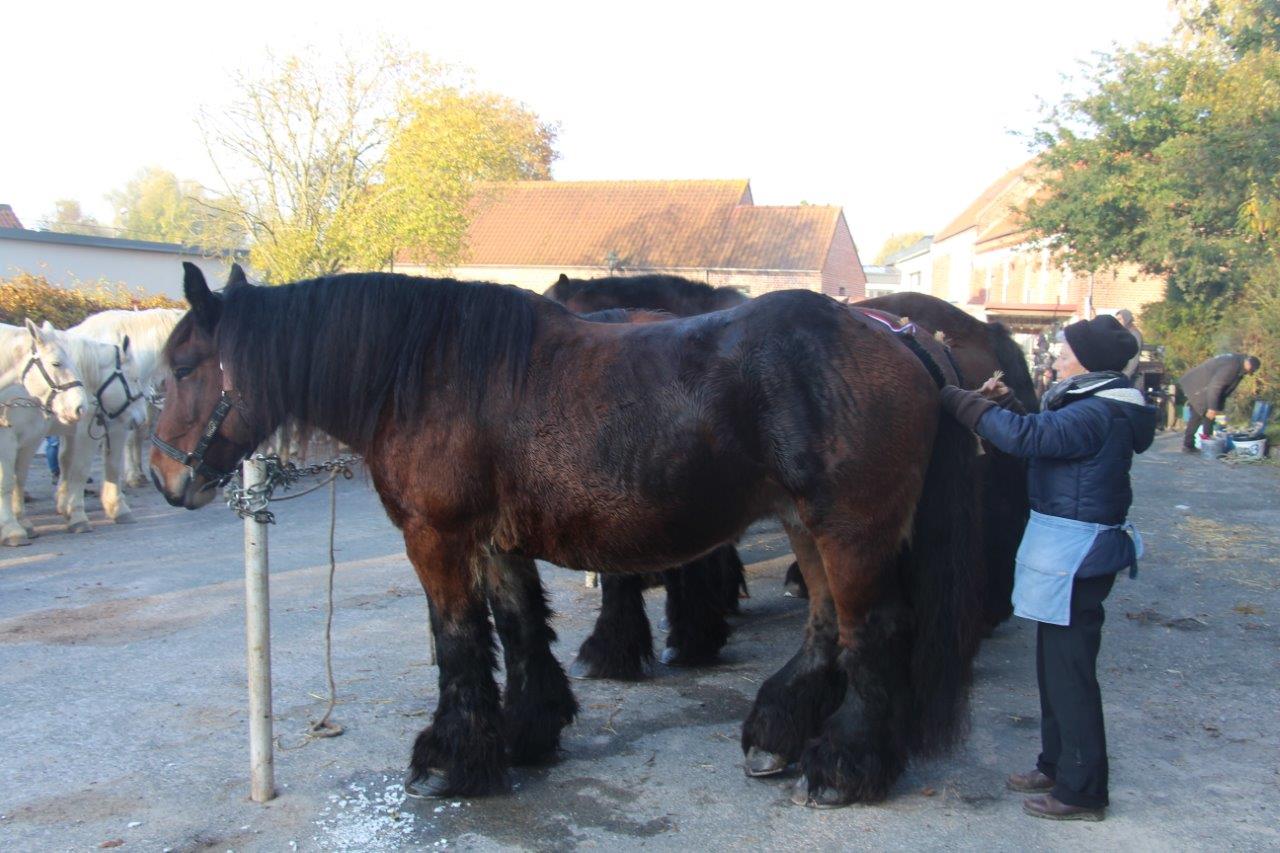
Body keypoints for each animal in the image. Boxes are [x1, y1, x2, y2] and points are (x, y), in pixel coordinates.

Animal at [0, 318, 88, 545]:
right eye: (56, 363)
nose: (80, 407)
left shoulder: (27, 442)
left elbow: (18, 479)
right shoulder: (7, 441)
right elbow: (6, 481)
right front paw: (11, 529)